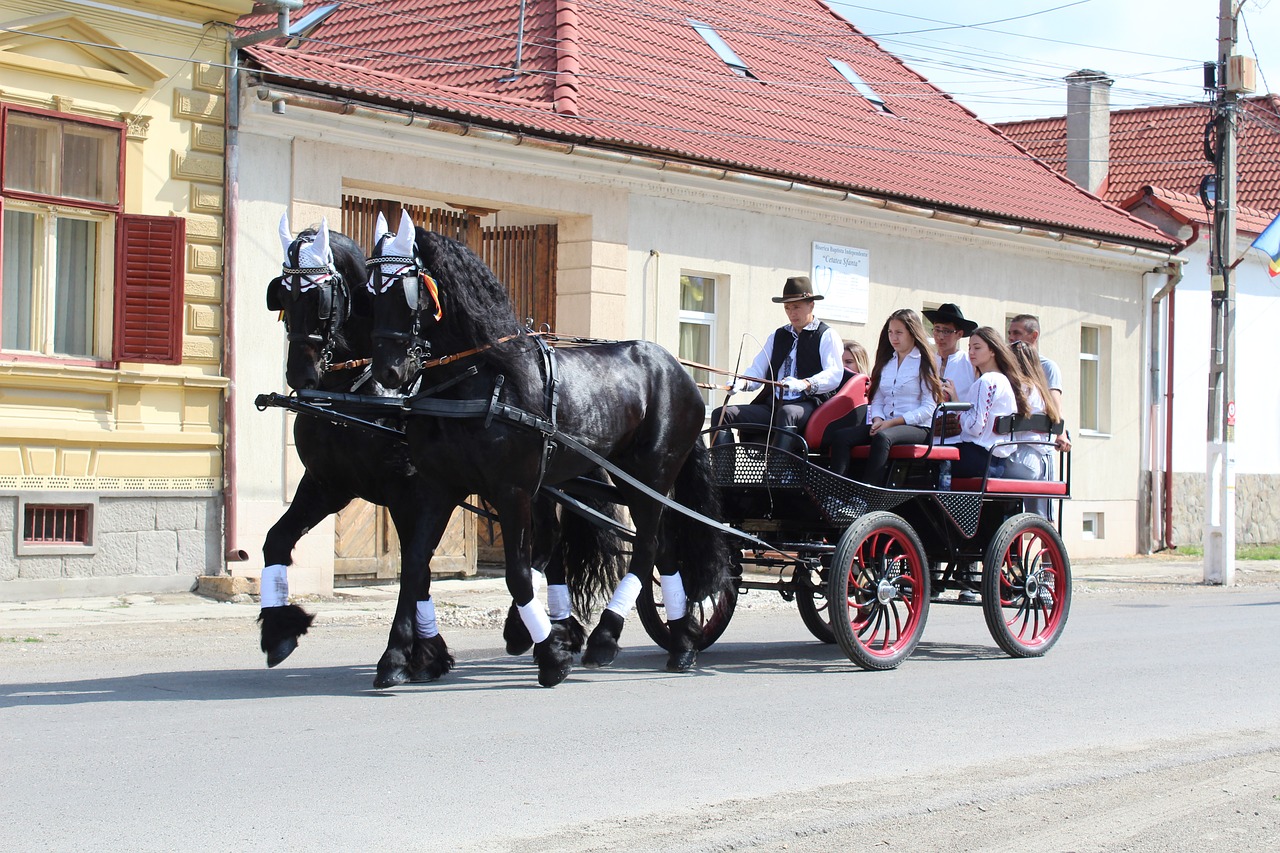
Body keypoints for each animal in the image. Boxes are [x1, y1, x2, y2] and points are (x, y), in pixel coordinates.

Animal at [262, 217, 616, 686]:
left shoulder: (407, 490)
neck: (357, 392)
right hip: (538, 485)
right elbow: (276, 540)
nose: (300, 374)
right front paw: (279, 633)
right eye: (282, 294)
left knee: (546, 543)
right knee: (550, 544)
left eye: (320, 298)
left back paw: (542, 631)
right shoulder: (327, 485)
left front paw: (414, 653)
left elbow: (418, 568)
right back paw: (556, 631)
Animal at [368, 212, 732, 686]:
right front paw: (394, 657)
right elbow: (414, 566)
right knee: (664, 548)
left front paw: (550, 655)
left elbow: (519, 573)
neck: (482, 380)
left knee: (648, 547)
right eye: (370, 290)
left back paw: (608, 637)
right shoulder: (439, 487)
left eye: (406, 287)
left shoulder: (513, 491)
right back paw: (681, 640)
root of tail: (681, 372)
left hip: (651, 474)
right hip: (631, 478)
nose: (388, 371)